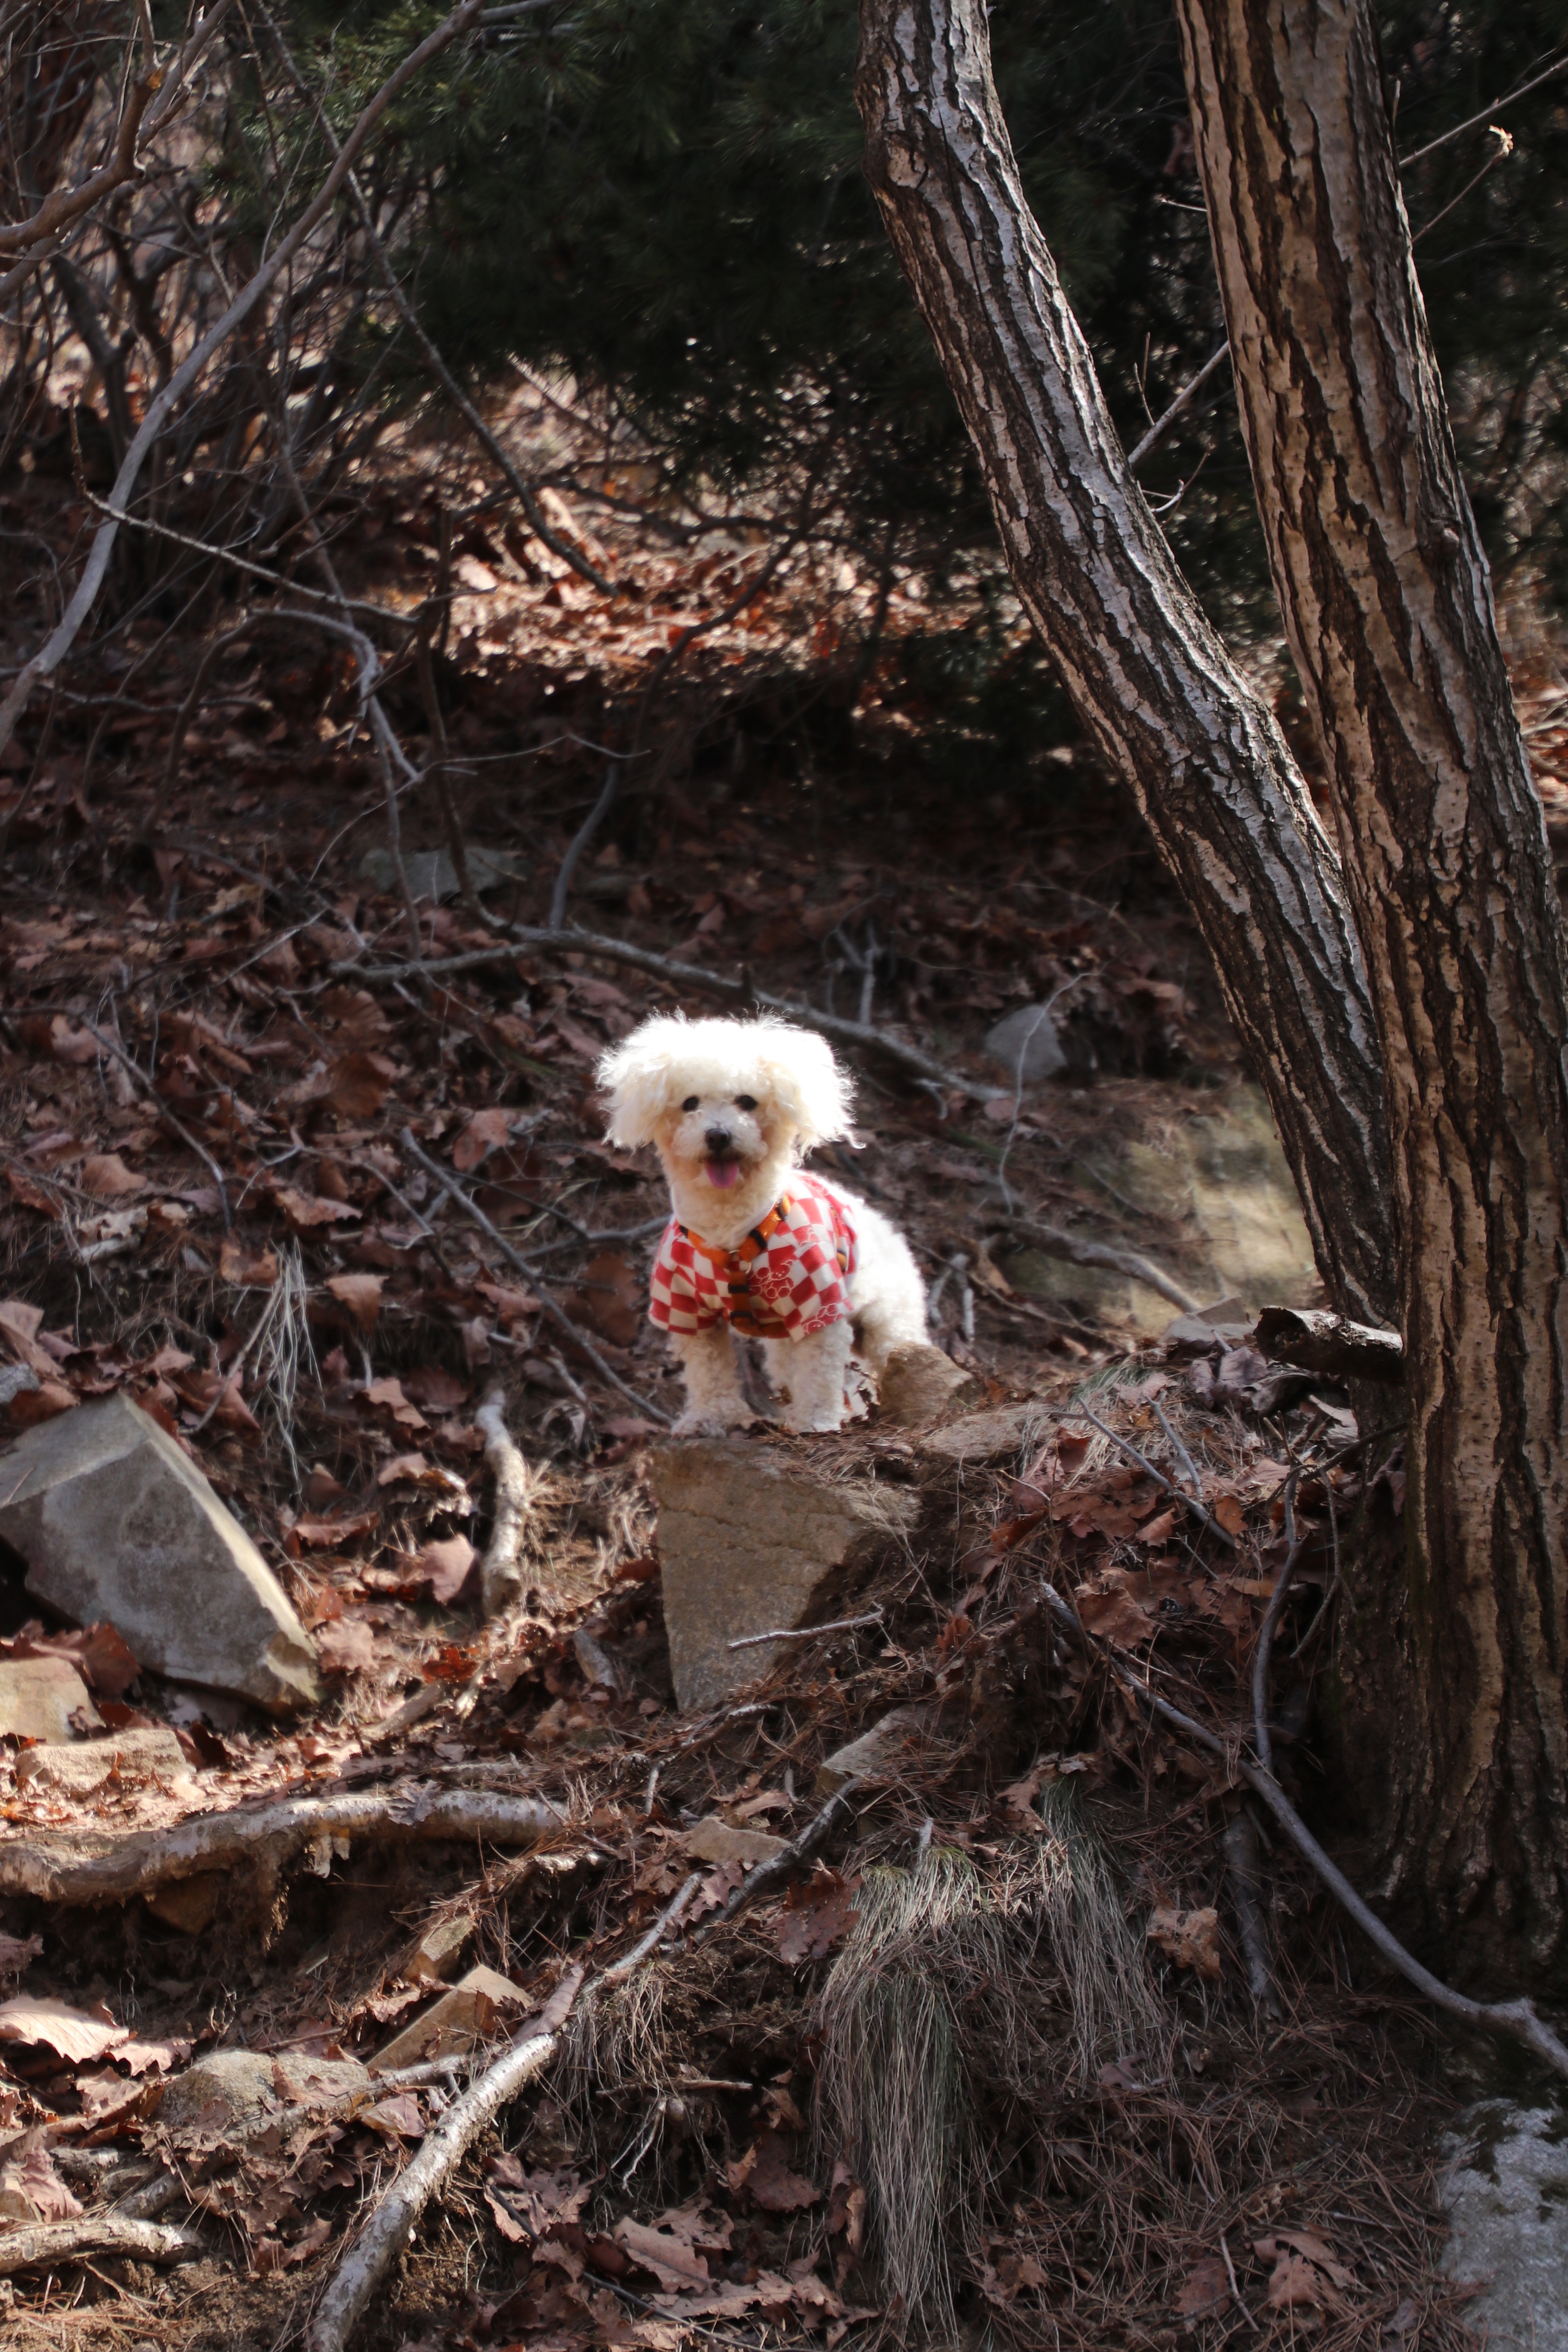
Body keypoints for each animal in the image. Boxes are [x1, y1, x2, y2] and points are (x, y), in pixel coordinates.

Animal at [597, 1013, 928, 1434]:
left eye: (747, 1102)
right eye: (690, 1104)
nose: (718, 1136)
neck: (731, 1230)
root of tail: (890, 1229)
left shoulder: (819, 1305)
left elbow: (819, 1374)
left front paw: (818, 1421)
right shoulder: (686, 1307)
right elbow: (709, 1371)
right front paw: (709, 1417)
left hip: (888, 1320)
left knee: (899, 1353)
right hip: (784, 1337)